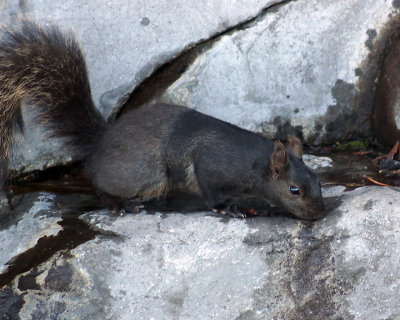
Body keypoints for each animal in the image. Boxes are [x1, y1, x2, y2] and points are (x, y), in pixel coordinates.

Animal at [0, 20, 324, 220]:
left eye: (317, 180)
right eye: (294, 190)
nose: (319, 214)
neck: (253, 162)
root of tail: (101, 141)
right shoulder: (210, 165)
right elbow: (211, 192)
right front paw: (229, 208)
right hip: (148, 173)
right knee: (100, 183)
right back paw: (118, 204)